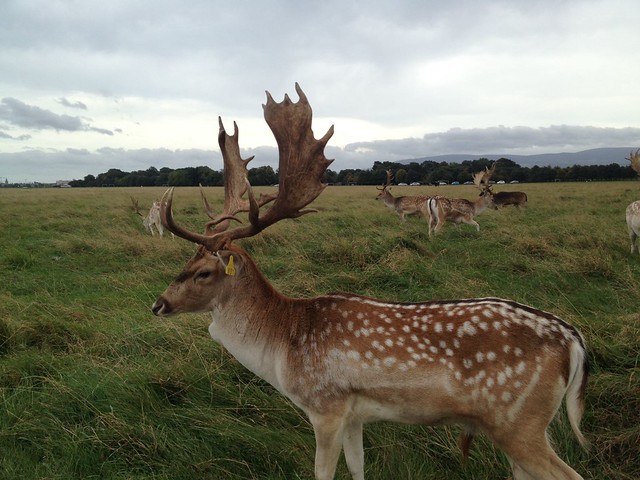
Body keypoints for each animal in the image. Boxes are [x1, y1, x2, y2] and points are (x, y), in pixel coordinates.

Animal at [151, 85, 592, 480]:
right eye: (185, 261)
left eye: (204, 271)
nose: (159, 304)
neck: (282, 345)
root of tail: (574, 342)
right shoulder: (354, 416)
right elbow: (358, 467)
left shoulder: (326, 406)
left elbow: (323, 472)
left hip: (517, 421)